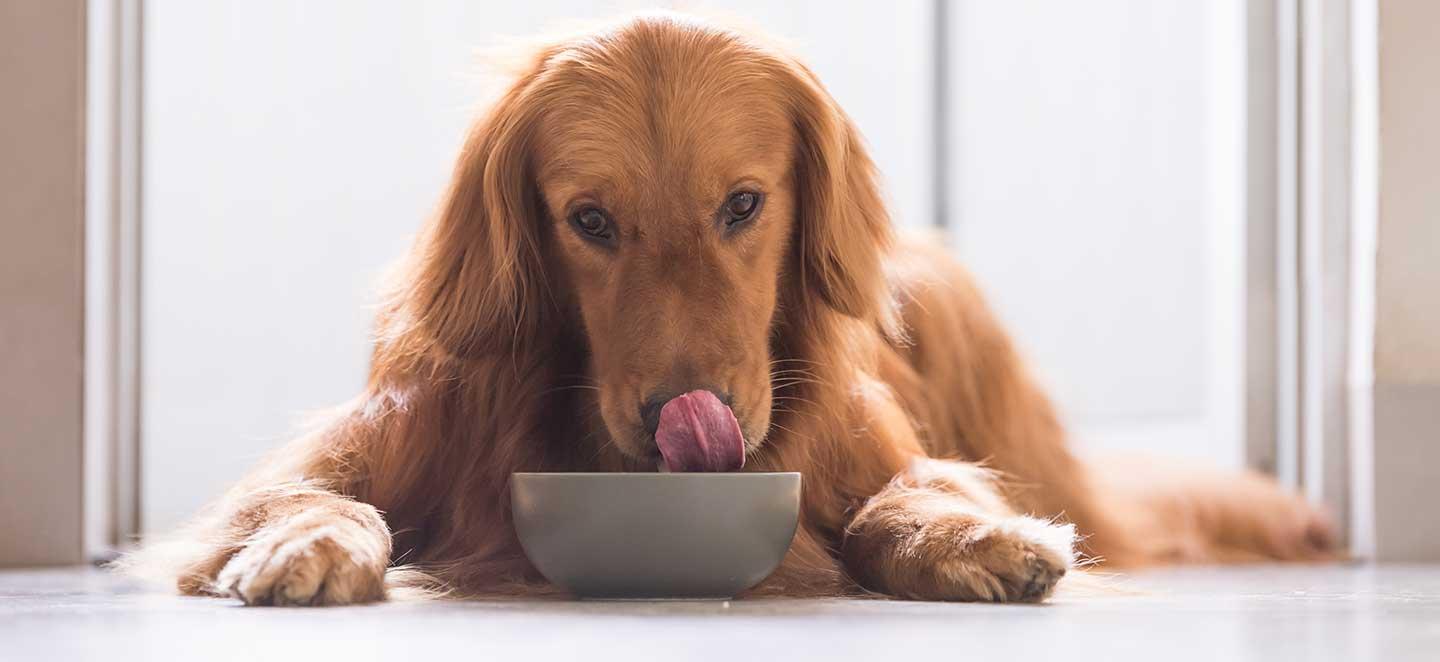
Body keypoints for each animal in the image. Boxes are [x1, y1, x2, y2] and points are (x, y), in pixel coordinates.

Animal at [129, 14, 1330, 604]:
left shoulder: (871, 450)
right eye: (590, 220)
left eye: (744, 203)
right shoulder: (373, 440)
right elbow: (303, 496)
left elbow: (903, 494)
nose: (685, 419)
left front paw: (966, 533)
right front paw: (306, 541)